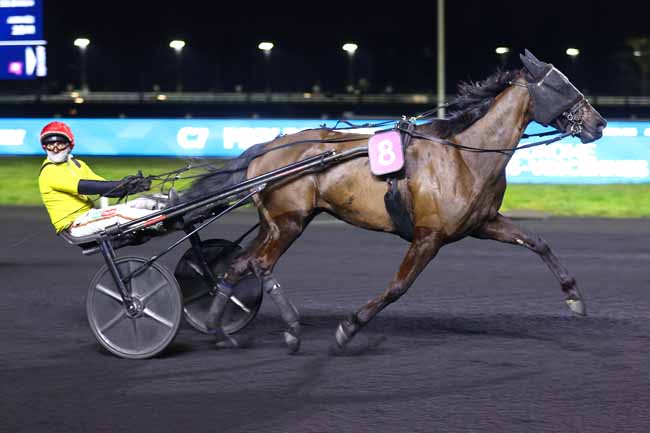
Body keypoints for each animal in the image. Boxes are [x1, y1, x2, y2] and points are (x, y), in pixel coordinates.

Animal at [184, 49, 608, 352]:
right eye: (562, 86)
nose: (600, 123)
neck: (464, 154)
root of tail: (265, 149)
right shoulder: (428, 235)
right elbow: (398, 286)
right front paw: (348, 328)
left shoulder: (483, 222)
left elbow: (538, 242)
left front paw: (574, 297)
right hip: (288, 221)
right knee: (259, 264)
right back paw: (289, 328)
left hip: (278, 223)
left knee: (238, 264)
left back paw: (219, 328)